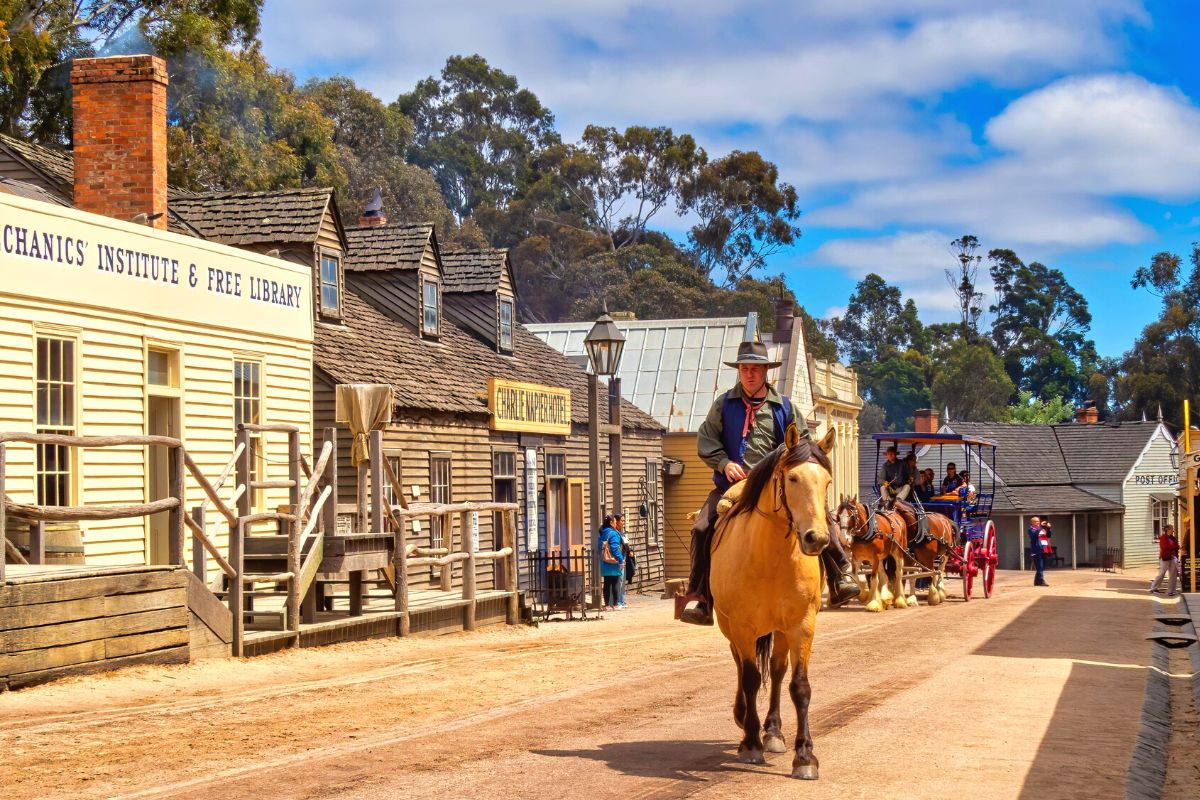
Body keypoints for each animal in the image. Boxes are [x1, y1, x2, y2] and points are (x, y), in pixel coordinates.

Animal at [710, 424, 835, 782]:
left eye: (827, 481)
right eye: (792, 478)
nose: (817, 539)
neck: (771, 558)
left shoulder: (802, 625)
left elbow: (799, 686)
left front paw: (804, 756)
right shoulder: (742, 626)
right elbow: (751, 679)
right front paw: (751, 743)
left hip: (779, 631)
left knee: (778, 673)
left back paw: (774, 732)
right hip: (733, 629)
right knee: (742, 668)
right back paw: (745, 720)